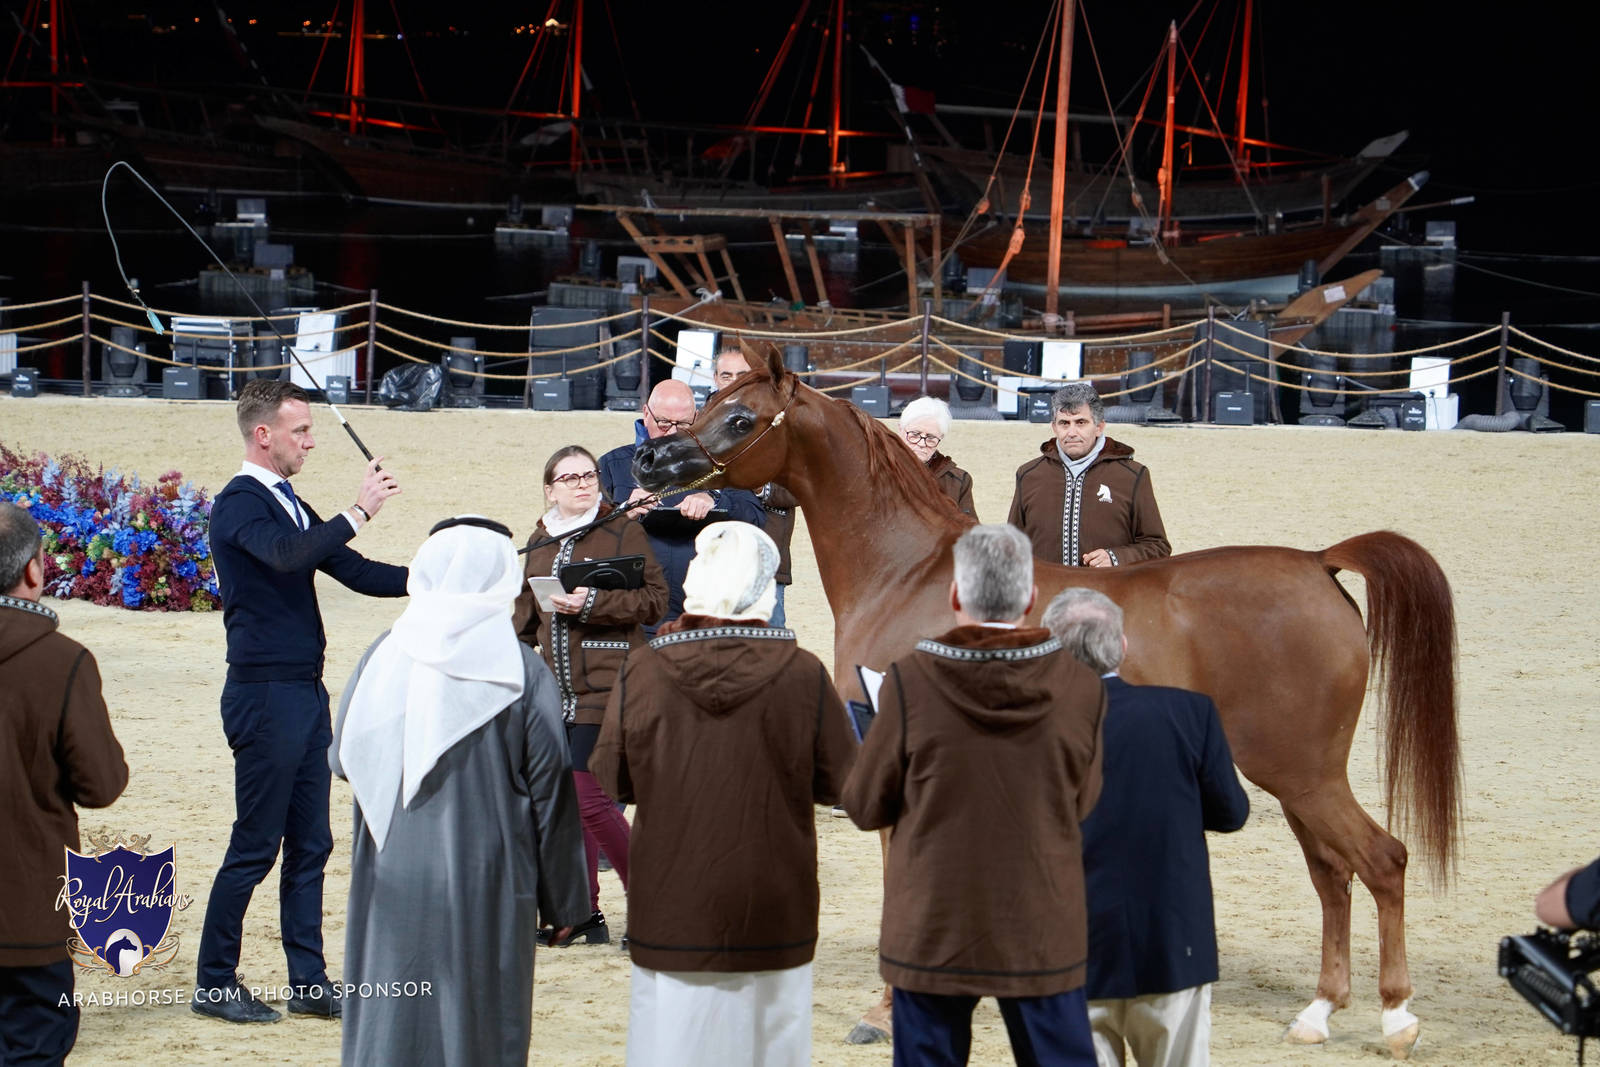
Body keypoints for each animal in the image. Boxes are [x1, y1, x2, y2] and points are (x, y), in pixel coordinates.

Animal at [631, 341, 1460, 1060]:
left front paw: (886, 1009)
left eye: (742, 418)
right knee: (1333, 875)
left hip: (1303, 774)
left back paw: (1396, 1018)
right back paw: (1319, 1013)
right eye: (711, 400)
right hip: (1295, 779)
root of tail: (1320, 563)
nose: (650, 457)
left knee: (1381, 861)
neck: (911, 571)